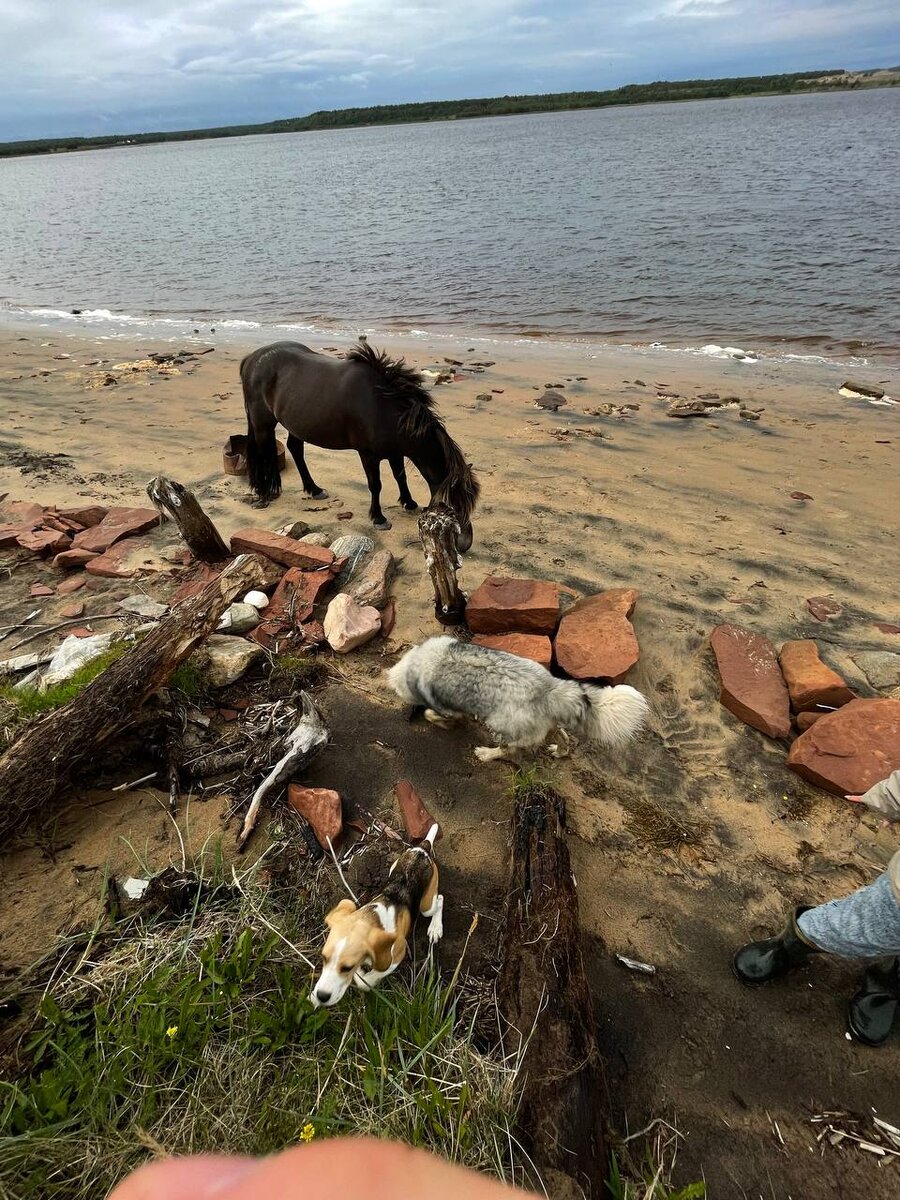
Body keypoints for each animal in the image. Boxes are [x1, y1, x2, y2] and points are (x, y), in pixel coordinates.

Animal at [240, 340, 480, 549]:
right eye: (451, 507)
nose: (465, 544)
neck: (382, 407)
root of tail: (251, 358)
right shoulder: (368, 455)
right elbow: (376, 485)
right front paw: (379, 518)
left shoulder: (395, 452)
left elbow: (400, 476)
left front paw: (409, 503)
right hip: (262, 423)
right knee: (262, 452)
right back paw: (262, 494)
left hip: (296, 423)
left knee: (295, 449)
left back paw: (314, 489)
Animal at [388, 638, 648, 758]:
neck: (417, 664)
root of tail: (548, 690)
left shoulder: (446, 708)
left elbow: (432, 714)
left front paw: (441, 723)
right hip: (543, 724)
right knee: (562, 735)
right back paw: (559, 751)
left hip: (501, 727)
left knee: (507, 751)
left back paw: (486, 754)